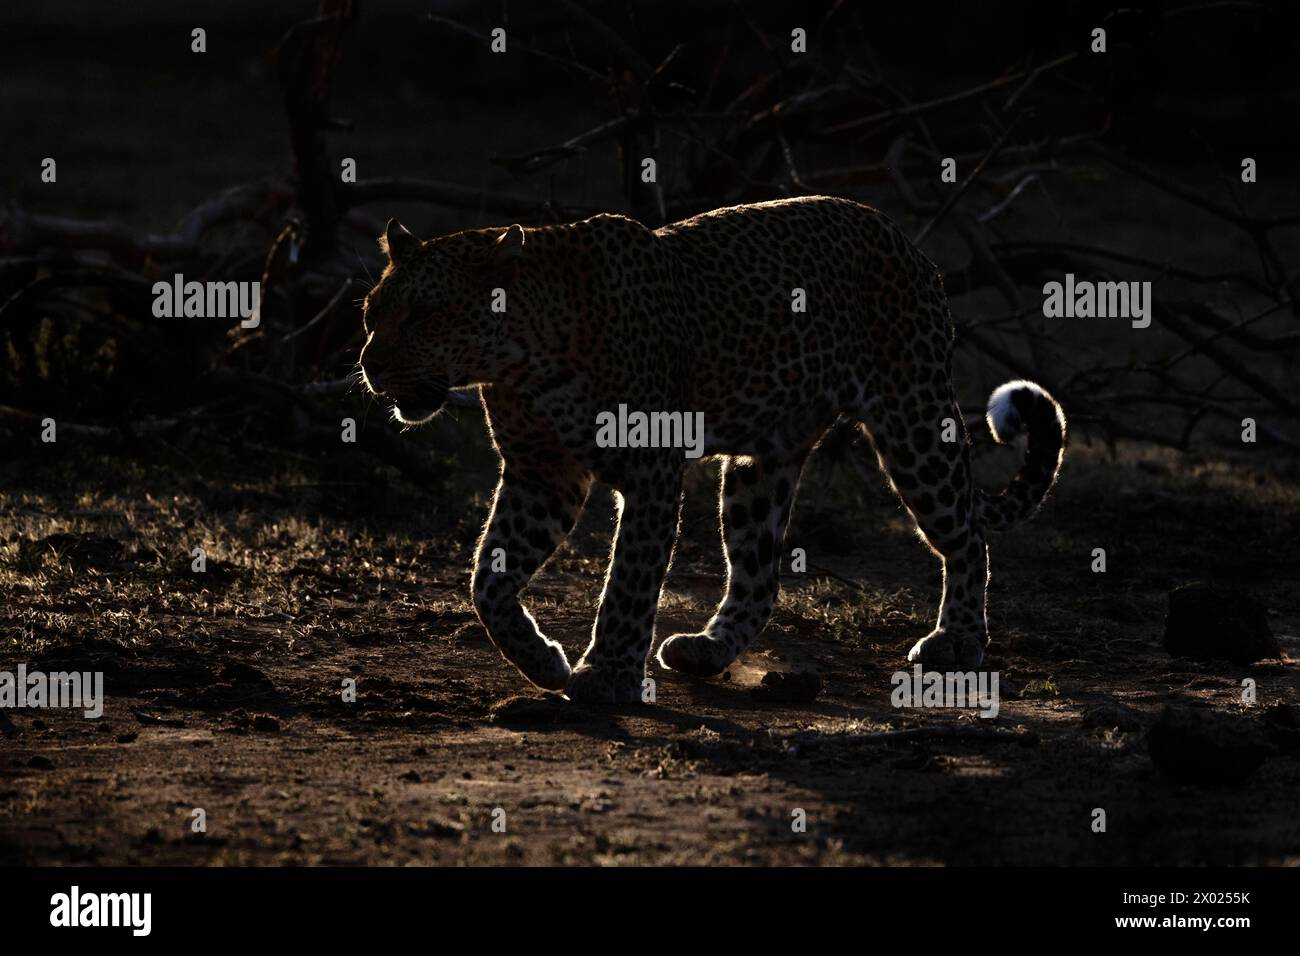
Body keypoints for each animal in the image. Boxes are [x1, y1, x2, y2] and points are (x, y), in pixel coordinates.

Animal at [358, 195, 1066, 704]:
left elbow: (629, 581)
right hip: (763, 461)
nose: (368, 364)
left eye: (422, 315)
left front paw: (607, 676)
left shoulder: (649, 470)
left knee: (968, 533)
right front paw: (542, 662)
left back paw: (958, 642)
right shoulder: (541, 473)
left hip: (912, 420)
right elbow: (488, 581)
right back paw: (705, 650)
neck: (518, 360)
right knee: (760, 575)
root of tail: (905, 240)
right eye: (371, 314)